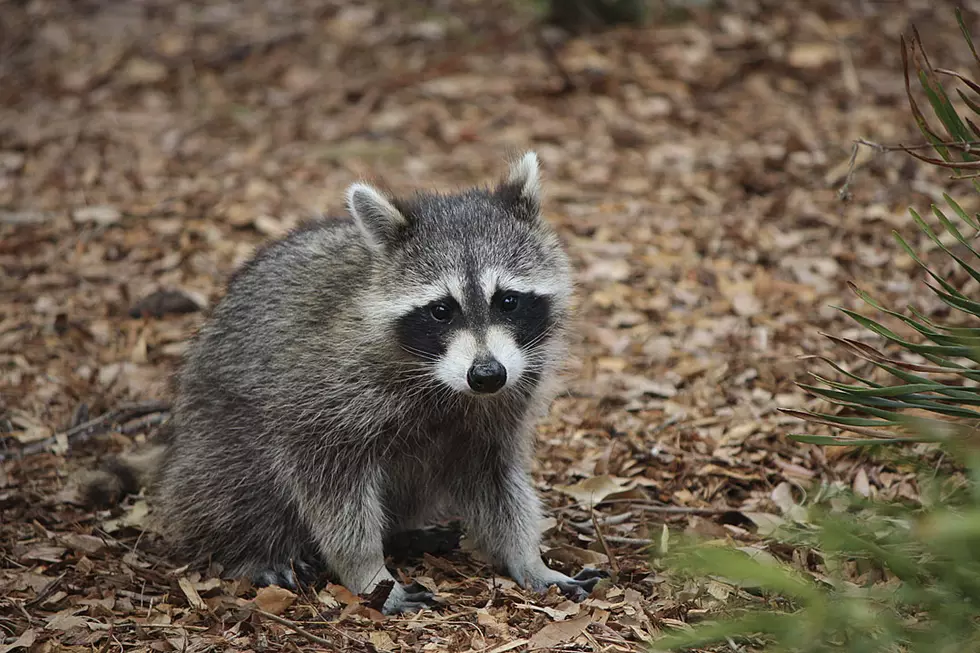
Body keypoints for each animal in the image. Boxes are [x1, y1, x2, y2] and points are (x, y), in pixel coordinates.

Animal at [86, 152, 604, 612]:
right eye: (442, 310)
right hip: (216, 435)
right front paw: (368, 573)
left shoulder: (505, 396)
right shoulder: (326, 389)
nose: (486, 375)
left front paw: (527, 557)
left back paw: (403, 533)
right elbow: (327, 484)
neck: (442, 380)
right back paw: (250, 549)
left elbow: (496, 478)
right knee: (237, 480)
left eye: (508, 301)